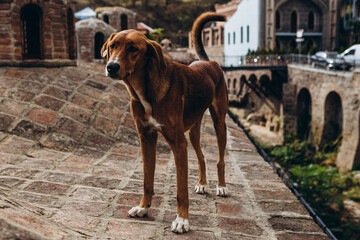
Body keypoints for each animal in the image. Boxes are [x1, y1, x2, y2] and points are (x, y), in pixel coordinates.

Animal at [101, 12, 228, 233]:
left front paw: (182, 220)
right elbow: (147, 180)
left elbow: (181, 191)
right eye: (113, 45)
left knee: (219, 159)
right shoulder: (146, 138)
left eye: (133, 48)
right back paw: (203, 183)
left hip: (219, 123)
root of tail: (209, 61)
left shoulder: (178, 144)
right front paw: (143, 207)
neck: (146, 90)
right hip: (193, 132)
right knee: (202, 157)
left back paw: (221, 186)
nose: (111, 66)